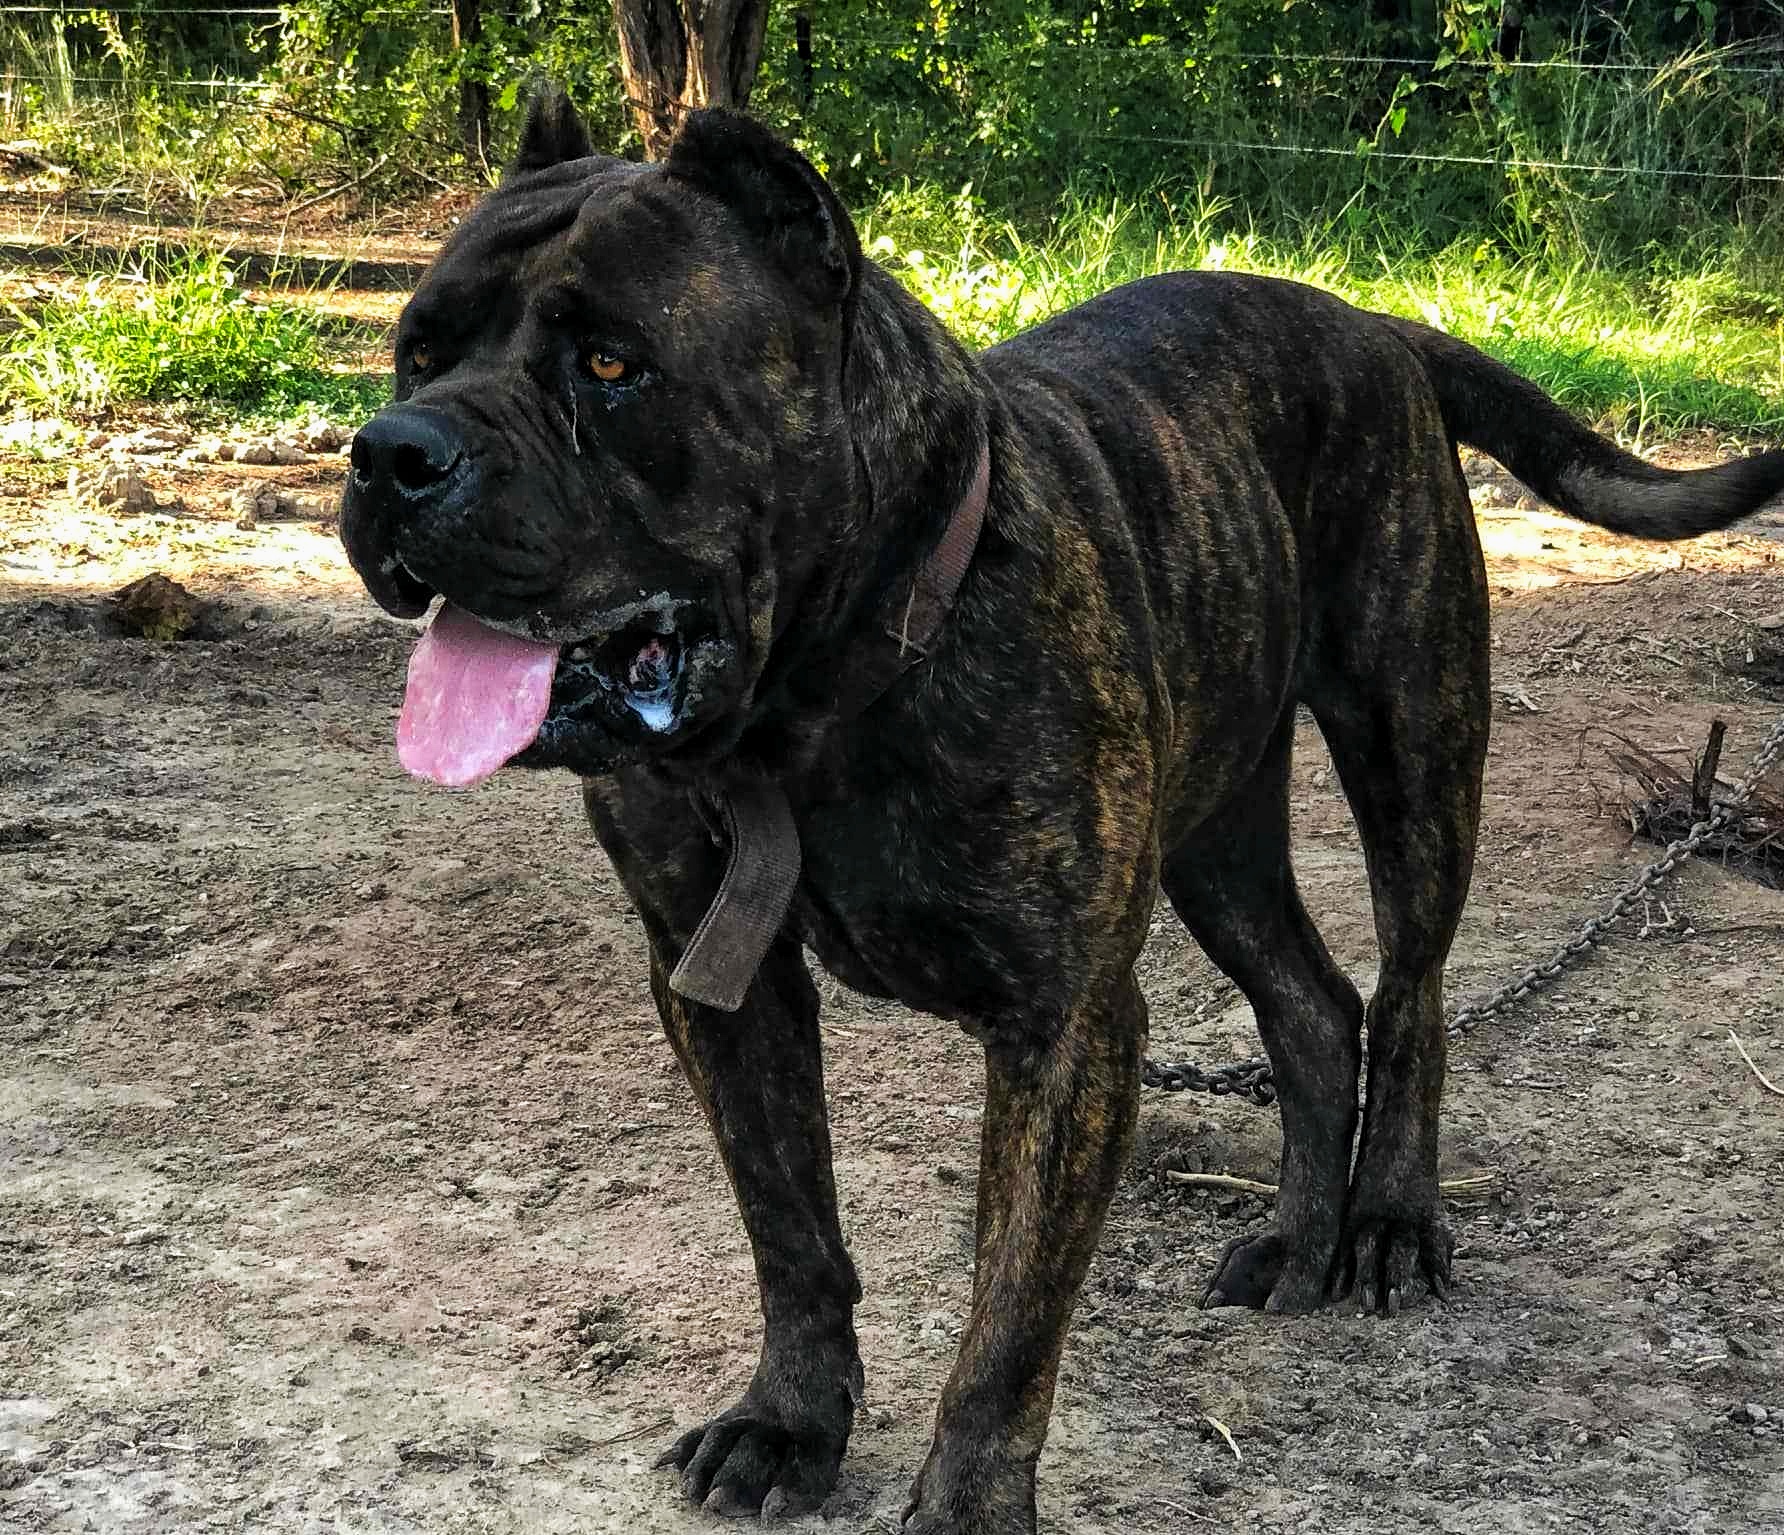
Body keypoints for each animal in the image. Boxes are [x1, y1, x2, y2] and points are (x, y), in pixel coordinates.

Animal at [338, 90, 1784, 1533]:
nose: (391, 452)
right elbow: (790, 1226)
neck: (817, 702)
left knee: (1410, 996)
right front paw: (789, 1419)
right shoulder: (720, 988)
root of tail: (1371, 322)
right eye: (417, 352)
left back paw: (1383, 1220)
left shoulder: (1064, 1022)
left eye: (611, 366)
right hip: (1219, 833)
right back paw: (1301, 1235)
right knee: (1313, 1005)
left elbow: (1009, 1321)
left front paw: (965, 1502)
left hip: (1411, 748)